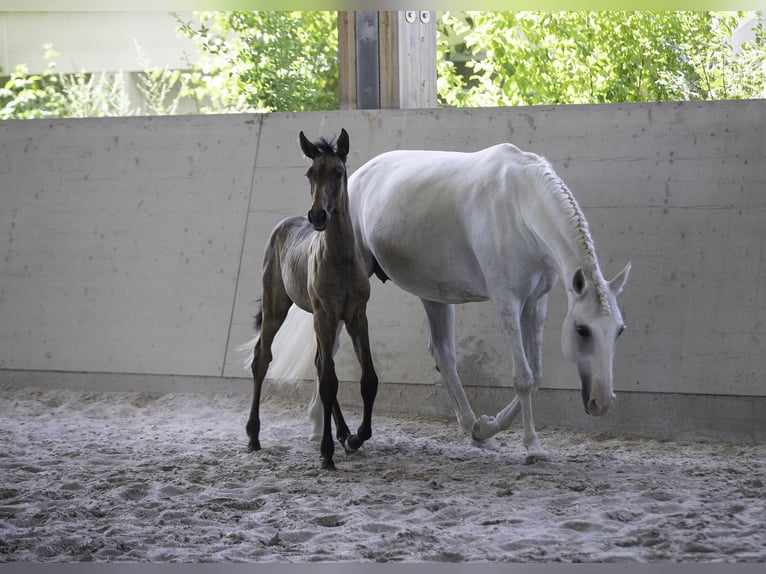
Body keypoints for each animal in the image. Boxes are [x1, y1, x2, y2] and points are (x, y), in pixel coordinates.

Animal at [260, 143, 632, 464]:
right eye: (583, 330)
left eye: (619, 331)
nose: (602, 402)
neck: (517, 204)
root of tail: (361, 175)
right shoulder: (507, 302)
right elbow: (523, 377)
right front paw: (532, 447)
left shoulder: (535, 302)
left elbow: (536, 374)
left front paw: (488, 427)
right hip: (346, 301)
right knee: (330, 350)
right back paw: (318, 428)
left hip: (433, 296)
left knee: (443, 355)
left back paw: (471, 428)